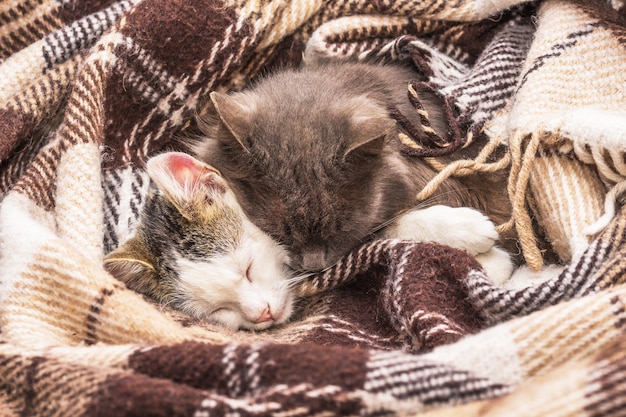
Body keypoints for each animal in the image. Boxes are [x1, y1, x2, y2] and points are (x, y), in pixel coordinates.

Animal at [195, 61, 512, 270]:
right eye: (280, 235)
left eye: (339, 231)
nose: (313, 268)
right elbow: (386, 228)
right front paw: (474, 235)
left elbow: (380, 228)